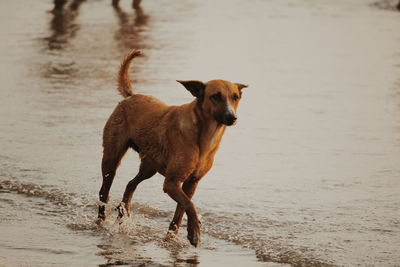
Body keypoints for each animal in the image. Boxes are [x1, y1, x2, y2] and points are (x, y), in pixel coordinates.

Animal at [97, 50, 247, 247]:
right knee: (104, 191)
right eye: (215, 96)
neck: (204, 135)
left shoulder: (191, 183)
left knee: (130, 184)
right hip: (111, 158)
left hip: (149, 167)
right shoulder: (171, 182)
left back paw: (124, 211)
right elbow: (190, 206)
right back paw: (101, 220)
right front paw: (195, 233)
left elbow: (181, 210)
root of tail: (131, 96)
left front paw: (174, 236)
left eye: (235, 97)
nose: (232, 117)